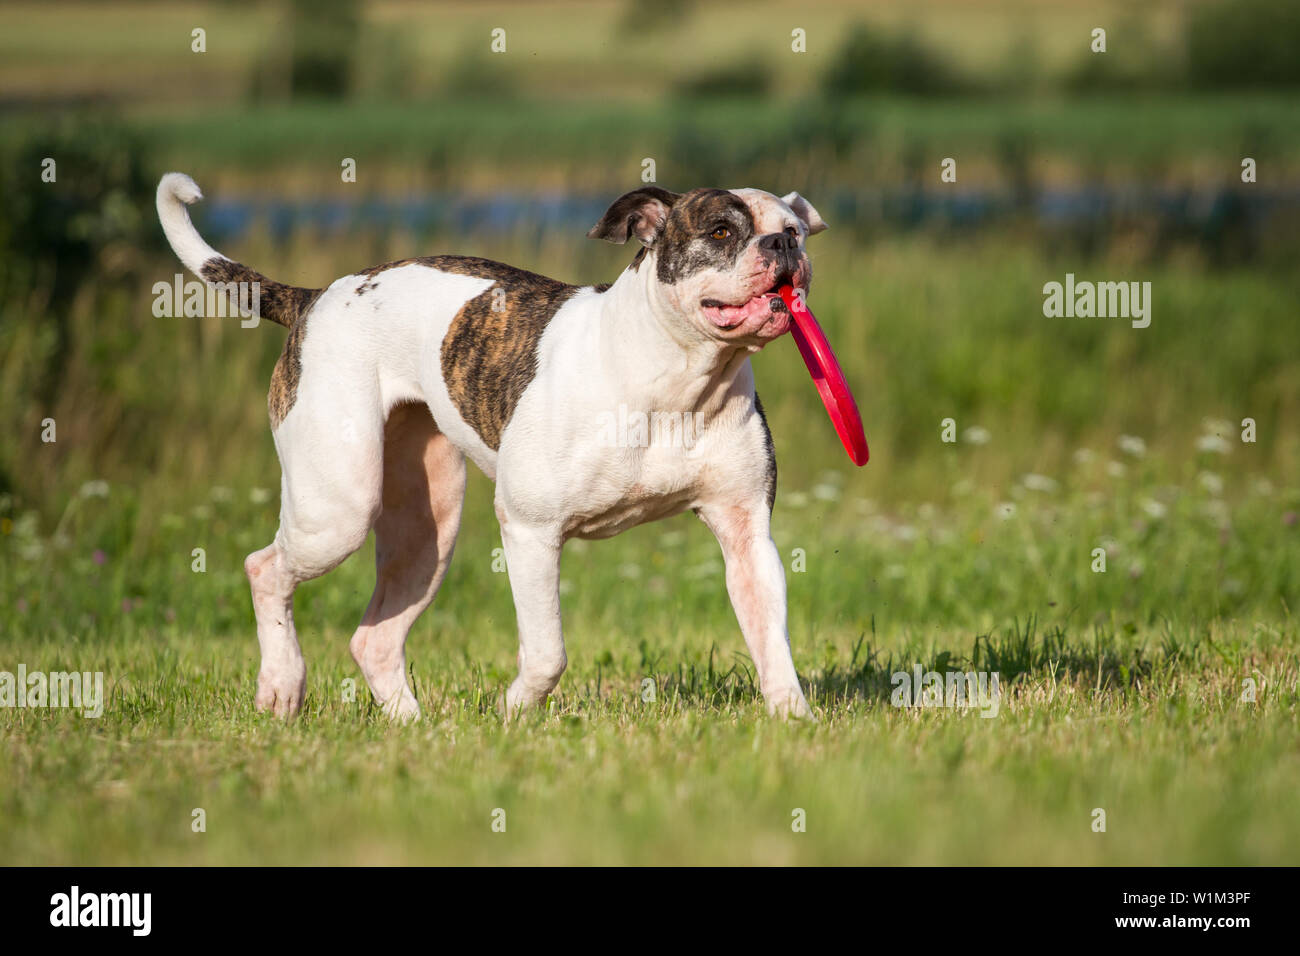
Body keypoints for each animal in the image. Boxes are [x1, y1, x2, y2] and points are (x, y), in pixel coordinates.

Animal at [152, 175, 821, 723]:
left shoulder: (746, 533)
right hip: (336, 510)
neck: (679, 379)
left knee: (374, 639)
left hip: (428, 529)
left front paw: (794, 722)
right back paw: (283, 685)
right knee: (265, 568)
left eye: (792, 229)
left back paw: (410, 725)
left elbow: (772, 641)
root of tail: (316, 298)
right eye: (721, 230)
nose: (783, 246)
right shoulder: (531, 530)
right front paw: (515, 711)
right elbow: (548, 651)